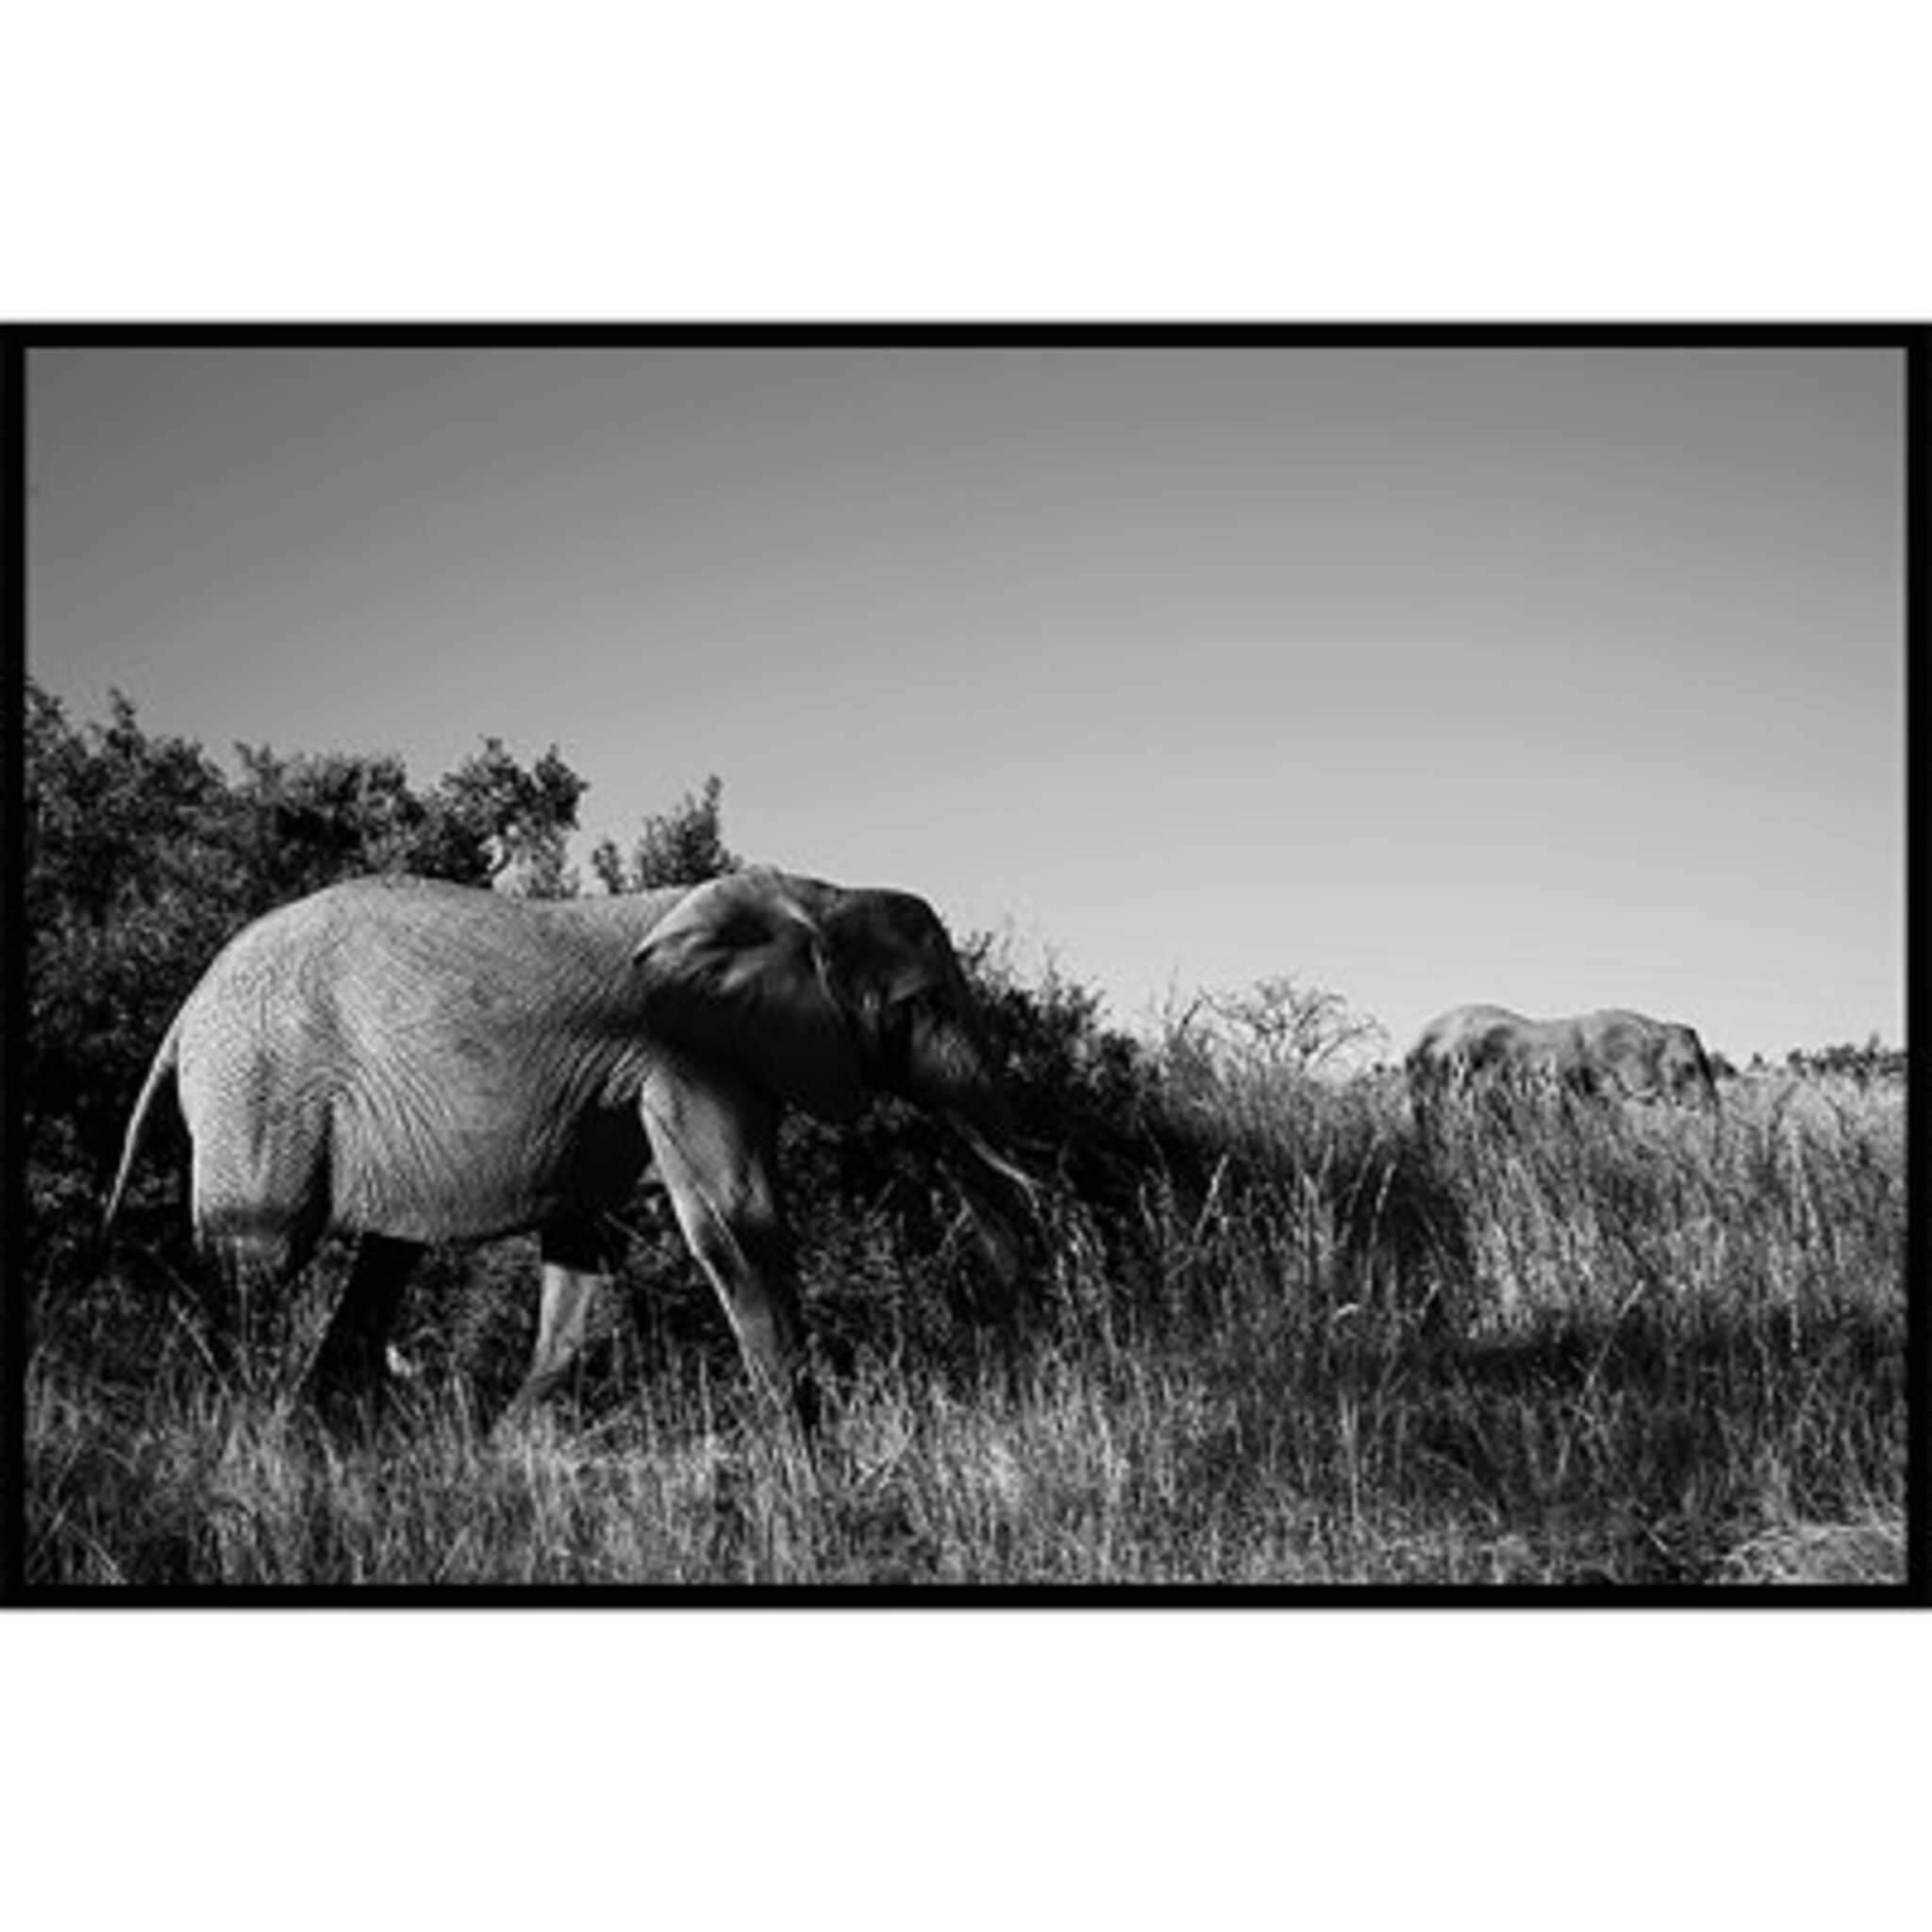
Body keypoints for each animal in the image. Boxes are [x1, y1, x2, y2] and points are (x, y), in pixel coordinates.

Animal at [105, 868, 1035, 1432]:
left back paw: (318, 1433)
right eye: (922, 1007)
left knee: (382, 1261)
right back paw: (245, 1429)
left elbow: (585, 1258)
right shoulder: (686, 1051)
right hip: (260, 1088)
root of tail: (189, 1007)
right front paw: (805, 1452)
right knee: (257, 1258)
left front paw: (505, 1452)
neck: (814, 892)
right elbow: (739, 1226)